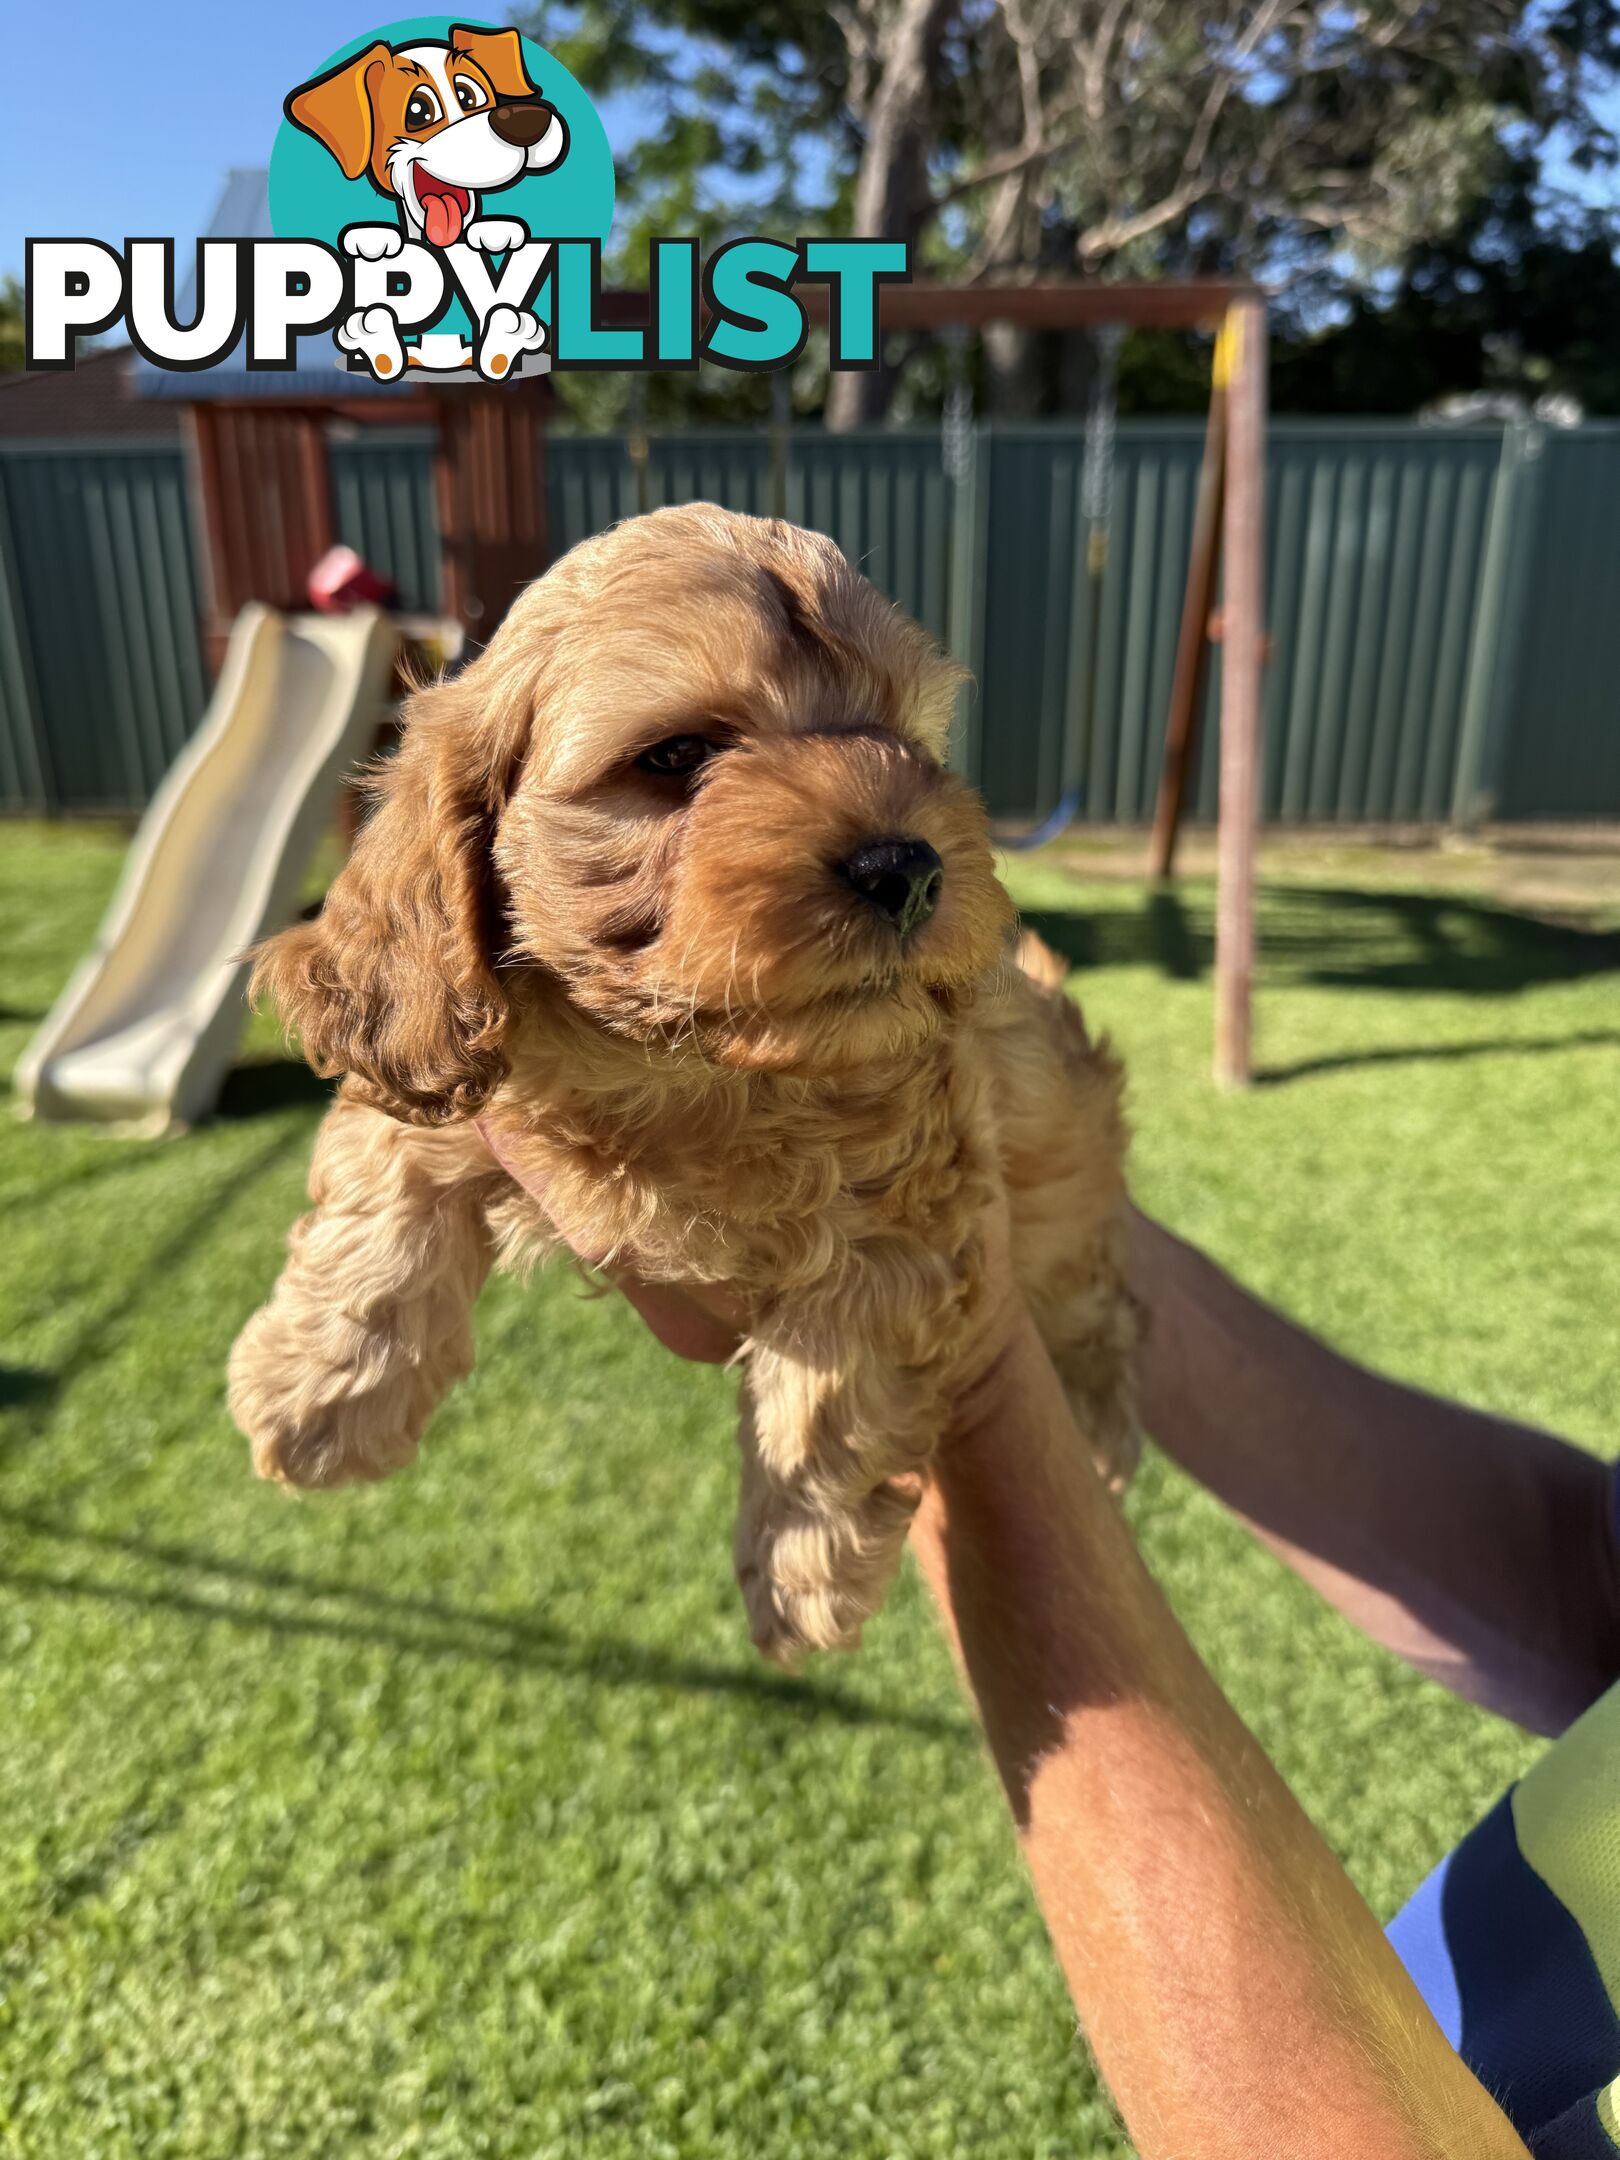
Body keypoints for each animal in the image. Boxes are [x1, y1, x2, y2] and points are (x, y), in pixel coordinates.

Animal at [231, 509, 1140, 1667]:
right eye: (675, 757)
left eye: (910, 742)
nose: (909, 866)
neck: (689, 1068)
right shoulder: (439, 1058)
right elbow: (382, 1194)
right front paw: (317, 1396)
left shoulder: (913, 1194)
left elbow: (826, 1385)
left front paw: (799, 1567)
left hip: (1069, 1192)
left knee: (1102, 1304)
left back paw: (1103, 1429)